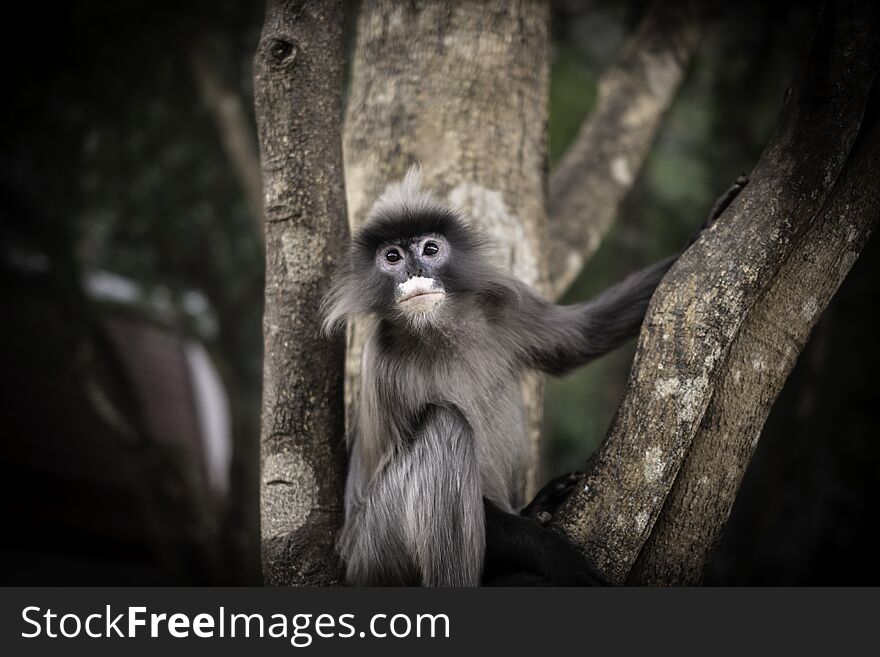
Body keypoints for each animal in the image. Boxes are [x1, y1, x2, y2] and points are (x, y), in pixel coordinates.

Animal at [324, 168, 744, 584]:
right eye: (392, 257)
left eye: (429, 250)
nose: (413, 271)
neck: (440, 331)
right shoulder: (384, 366)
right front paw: (553, 553)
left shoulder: (505, 308)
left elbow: (583, 337)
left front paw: (711, 220)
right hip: (375, 551)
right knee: (446, 426)